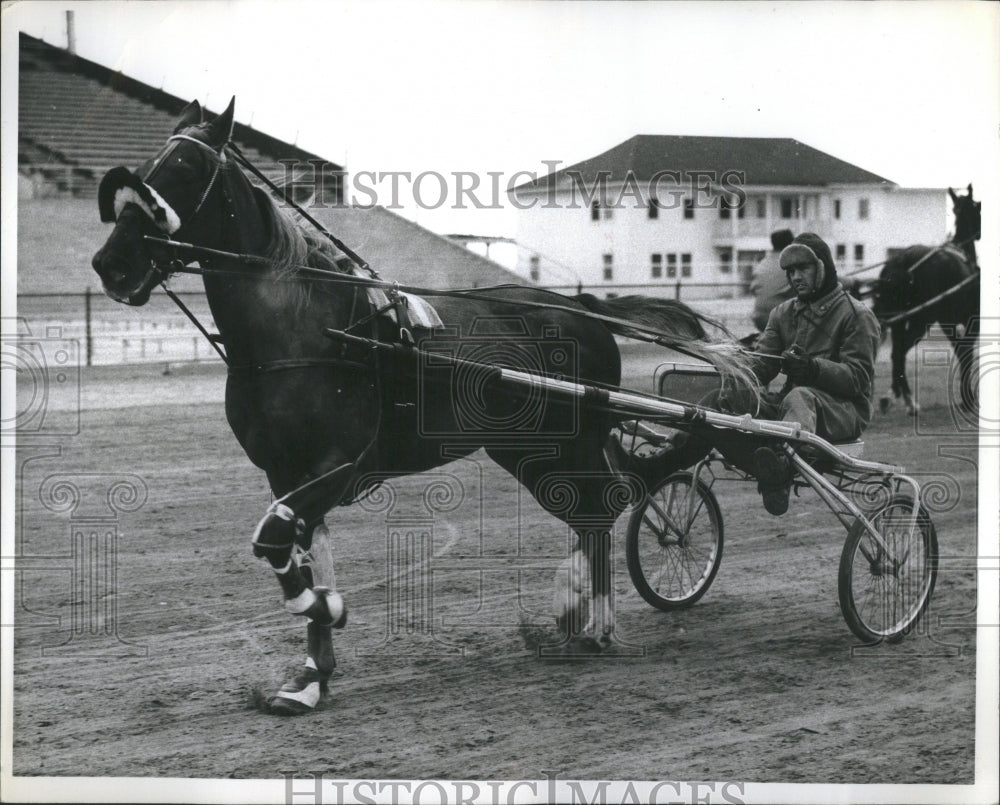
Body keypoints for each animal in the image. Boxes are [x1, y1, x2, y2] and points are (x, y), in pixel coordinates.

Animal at [90, 97, 756, 712]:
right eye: (146, 167)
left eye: (183, 169)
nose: (110, 264)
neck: (309, 332)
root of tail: (580, 307)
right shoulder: (286, 473)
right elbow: (302, 549)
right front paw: (312, 672)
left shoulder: (339, 464)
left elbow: (275, 541)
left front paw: (327, 608)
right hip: (528, 449)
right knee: (593, 508)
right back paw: (576, 614)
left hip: (562, 440)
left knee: (604, 506)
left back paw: (592, 622)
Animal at [872, 185, 980, 414]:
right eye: (978, 207)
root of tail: (904, 260)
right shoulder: (971, 318)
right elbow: (966, 352)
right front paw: (968, 399)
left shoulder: (948, 322)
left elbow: (961, 351)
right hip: (921, 318)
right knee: (900, 351)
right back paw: (906, 400)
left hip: (903, 317)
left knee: (897, 353)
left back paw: (898, 397)